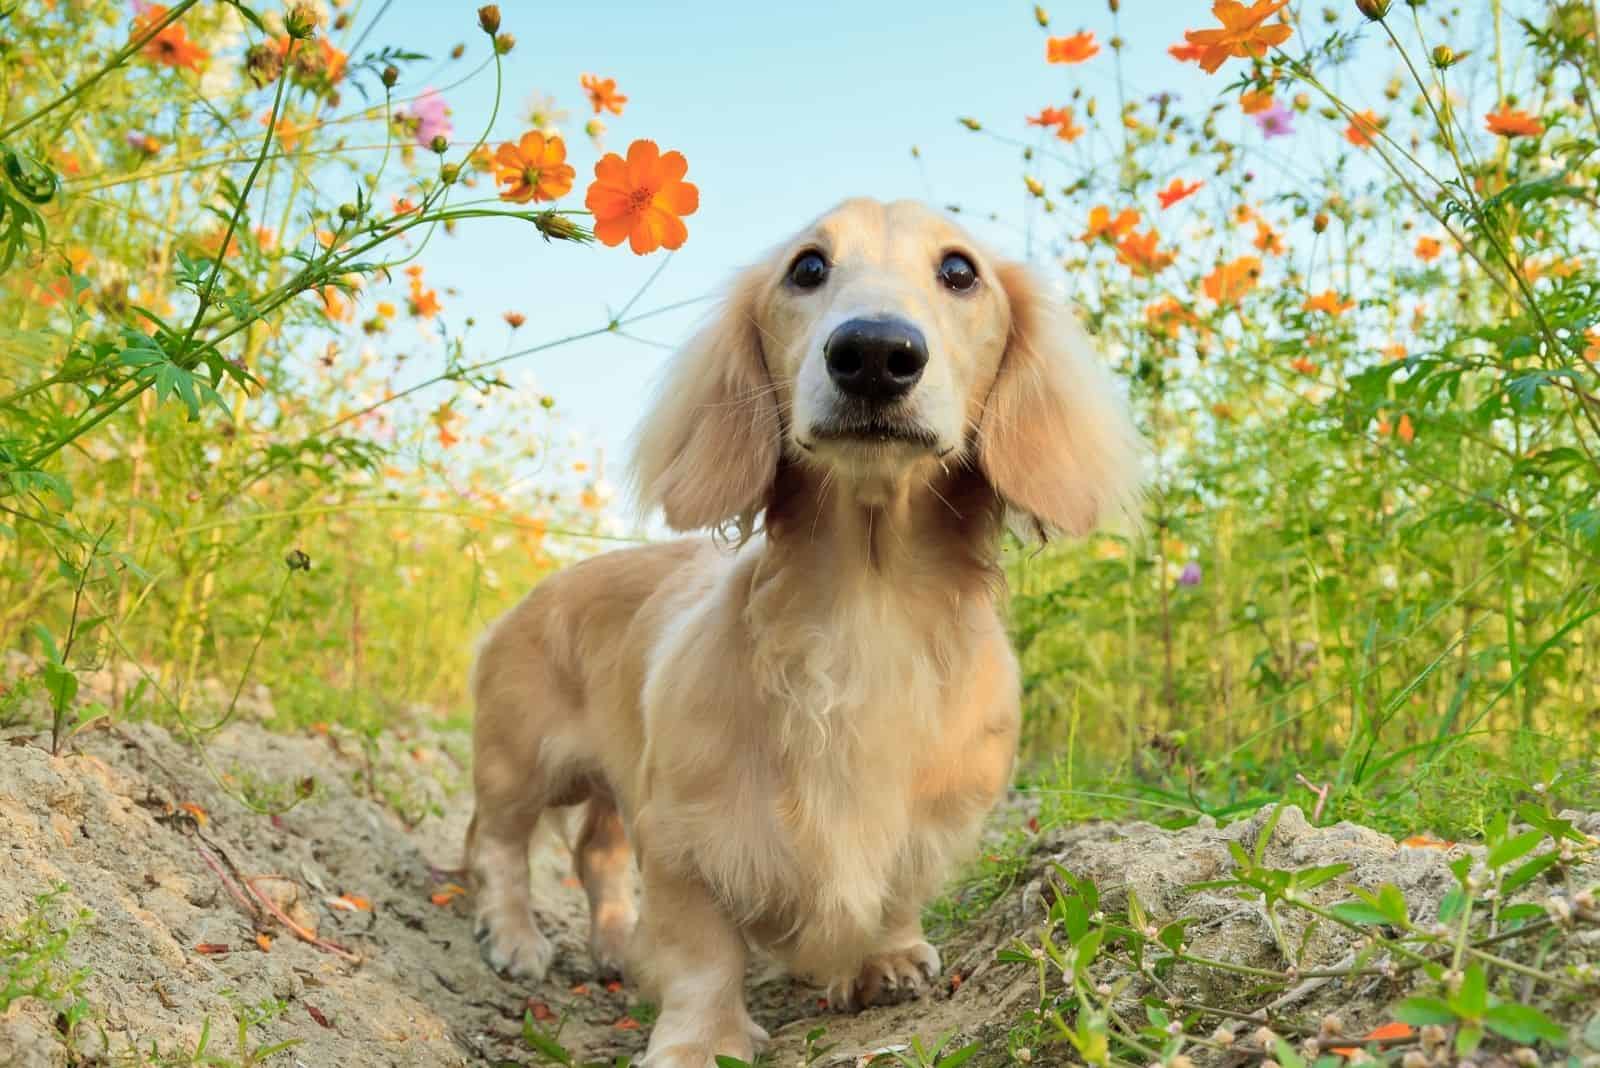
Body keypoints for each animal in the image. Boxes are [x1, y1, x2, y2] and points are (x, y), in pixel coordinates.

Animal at [464, 198, 1139, 1061]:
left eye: (960, 271)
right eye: (808, 267)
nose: (876, 352)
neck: (869, 605)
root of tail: (537, 590)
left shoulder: (930, 825)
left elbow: (893, 896)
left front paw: (884, 959)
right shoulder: (684, 838)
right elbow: (702, 953)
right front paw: (700, 1040)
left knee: (596, 855)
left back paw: (615, 943)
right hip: (524, 760)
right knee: (499, 843)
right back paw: (515, 937)